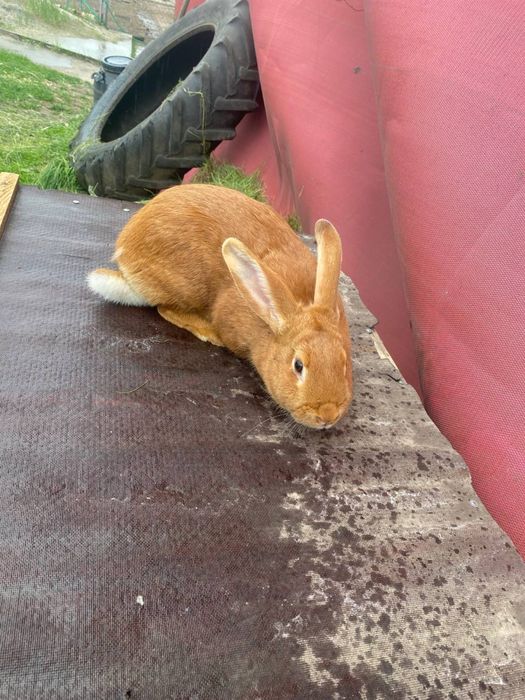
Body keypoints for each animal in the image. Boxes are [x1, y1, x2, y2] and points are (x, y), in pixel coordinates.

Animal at [87, 184, 352, 429]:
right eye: (298, 366)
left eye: (343, 361)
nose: (327, 414)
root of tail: (125, 259)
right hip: (187, 286)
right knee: (165, 308)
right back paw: (207, 331)